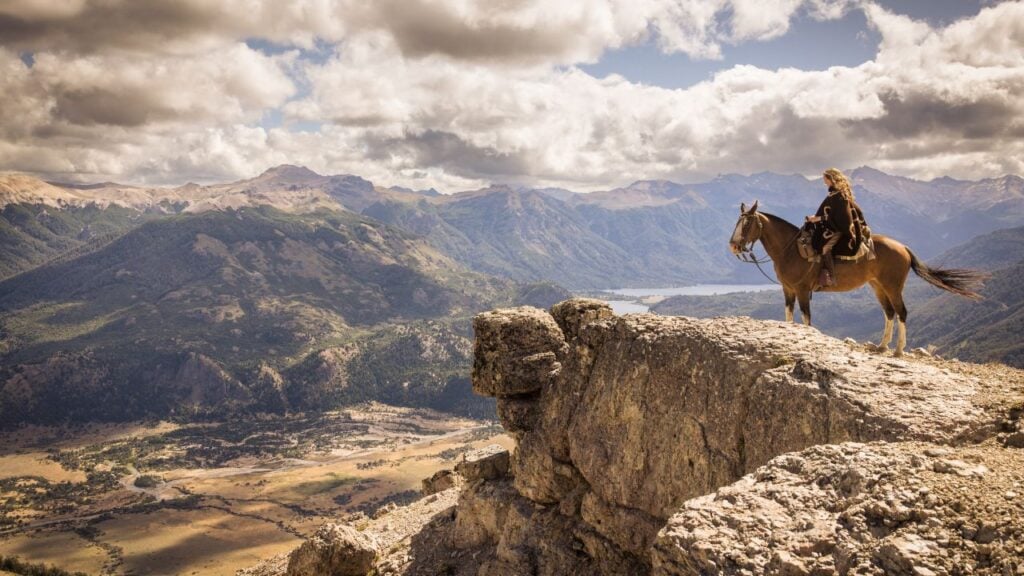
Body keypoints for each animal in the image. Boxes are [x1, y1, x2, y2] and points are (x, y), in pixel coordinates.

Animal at [728, 201, 987, 356]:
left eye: (747, 223)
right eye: (737, 222)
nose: (733, 245)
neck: (791, 250)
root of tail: (902, 246)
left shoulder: (802, 290)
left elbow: (806, 319)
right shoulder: (788, 290)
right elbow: (789, 317)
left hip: (893, 286)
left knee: (901, 312)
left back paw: (898, 350)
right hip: (877, 286)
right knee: (889, 312)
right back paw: (882, 346)